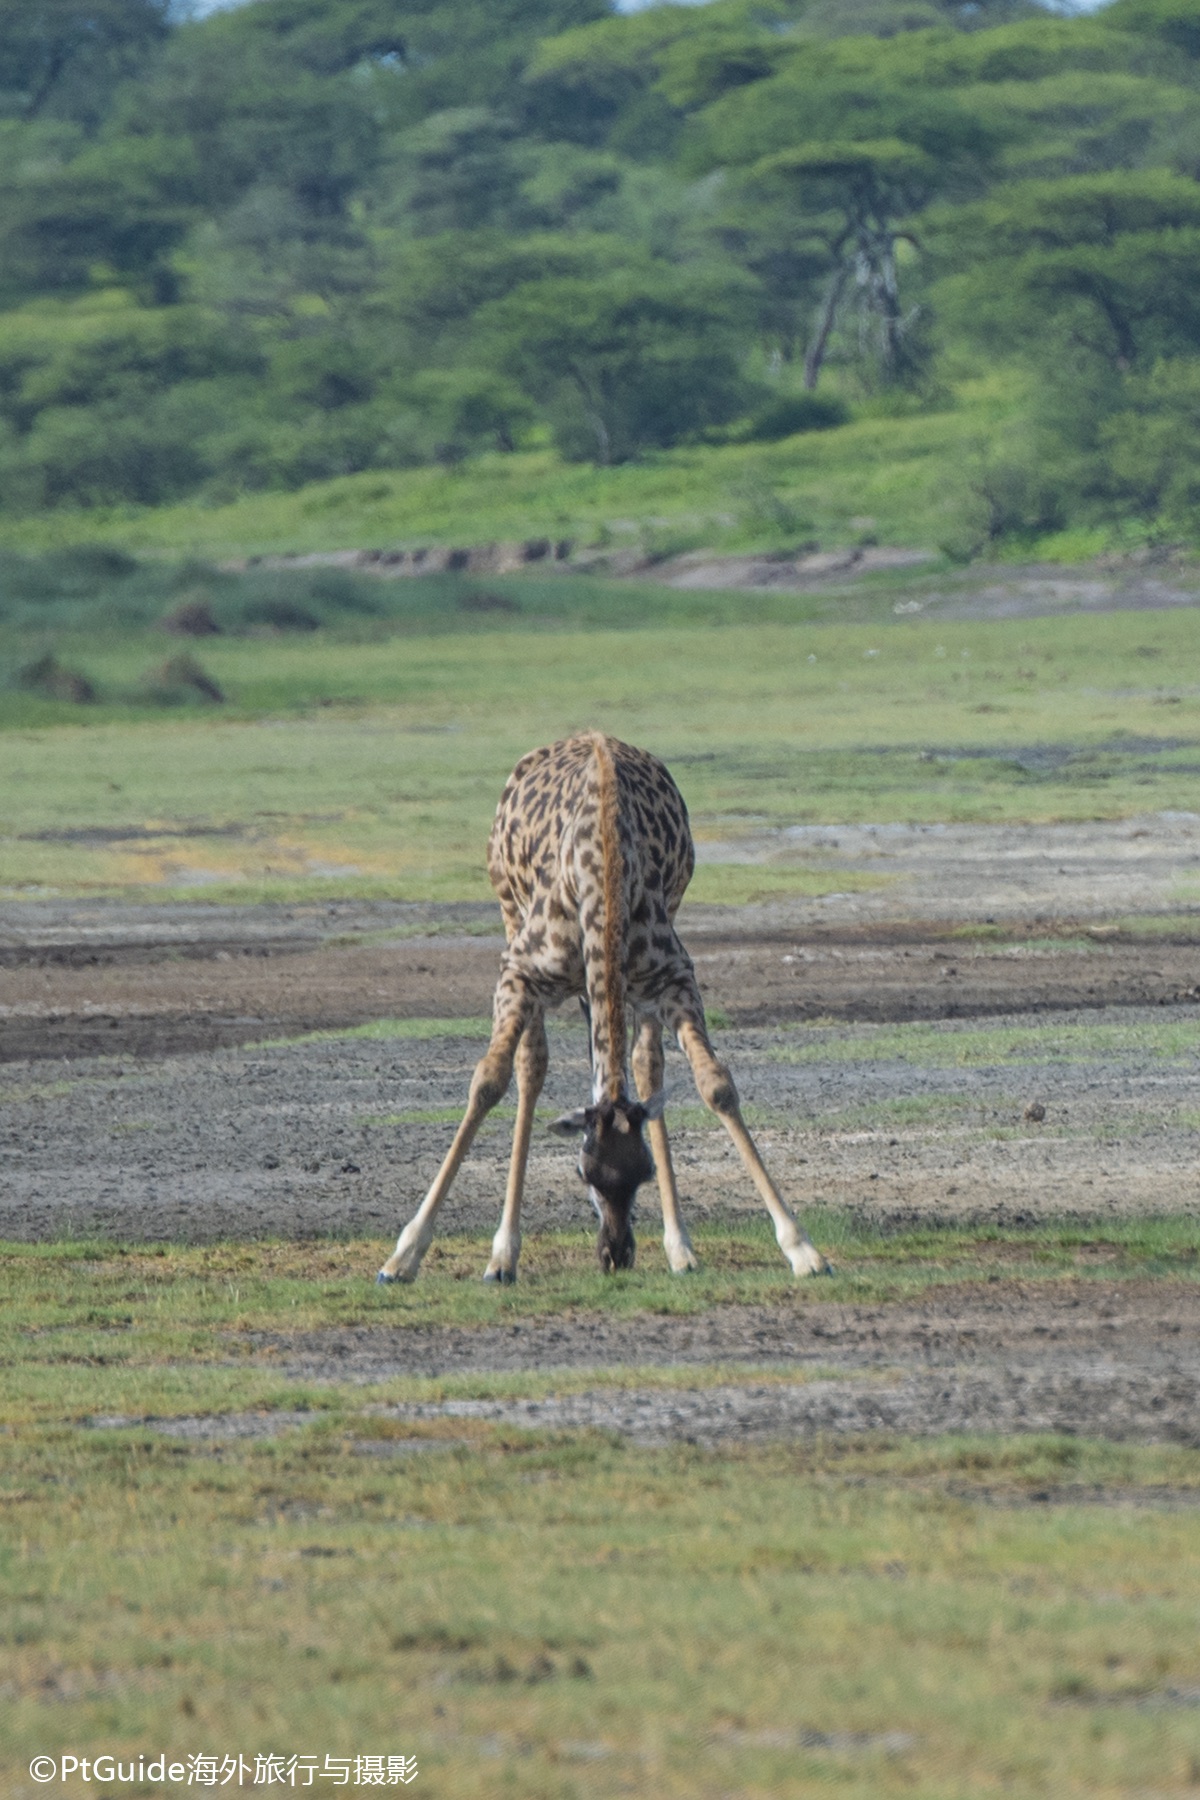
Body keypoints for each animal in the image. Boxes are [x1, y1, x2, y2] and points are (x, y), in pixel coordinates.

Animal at [376, 738, 827, 1288]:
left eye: (645, 1172)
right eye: (582, 1172)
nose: (615, 1254)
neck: (602, 866)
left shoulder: (673, 976)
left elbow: (715, 1084)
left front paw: (802, 1247)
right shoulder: (518, 972)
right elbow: (488, 1082)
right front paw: (404, 1256)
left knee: (645, 1064)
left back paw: (680, 1248)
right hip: (509, 914)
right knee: (532, 1065)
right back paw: (503, 1256)